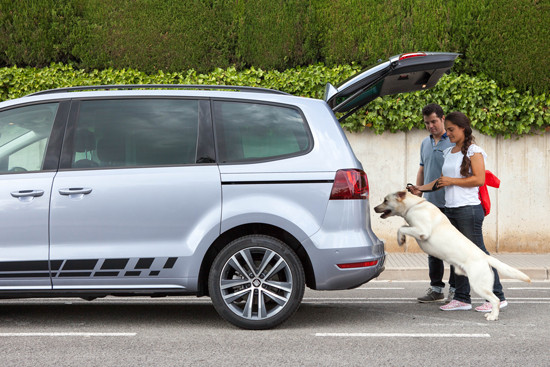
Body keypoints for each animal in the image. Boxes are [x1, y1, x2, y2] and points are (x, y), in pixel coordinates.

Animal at [374, 191, 532, 320]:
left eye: (385, 200)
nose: (375, 208)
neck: (415, 205)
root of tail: (485, 257)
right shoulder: (416, 229)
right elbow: (404, 226)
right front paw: (401, 239)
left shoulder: (422, 231)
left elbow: (401, 228)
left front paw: (400, 239)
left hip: (479, 285)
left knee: (496, 300)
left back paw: (492, 316)